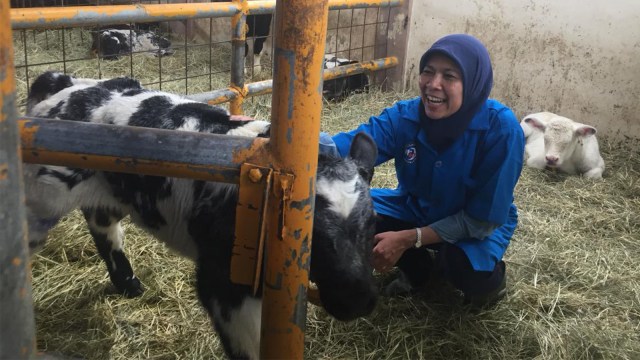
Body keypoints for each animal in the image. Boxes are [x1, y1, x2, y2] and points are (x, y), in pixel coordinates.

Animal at [23, 71, 380, 358]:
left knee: (101, 225)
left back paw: (129, 284)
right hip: (40, 200)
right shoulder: (221, 283)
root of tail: (66, 83)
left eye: (372, 222)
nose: (359, 300)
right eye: (308, 233)